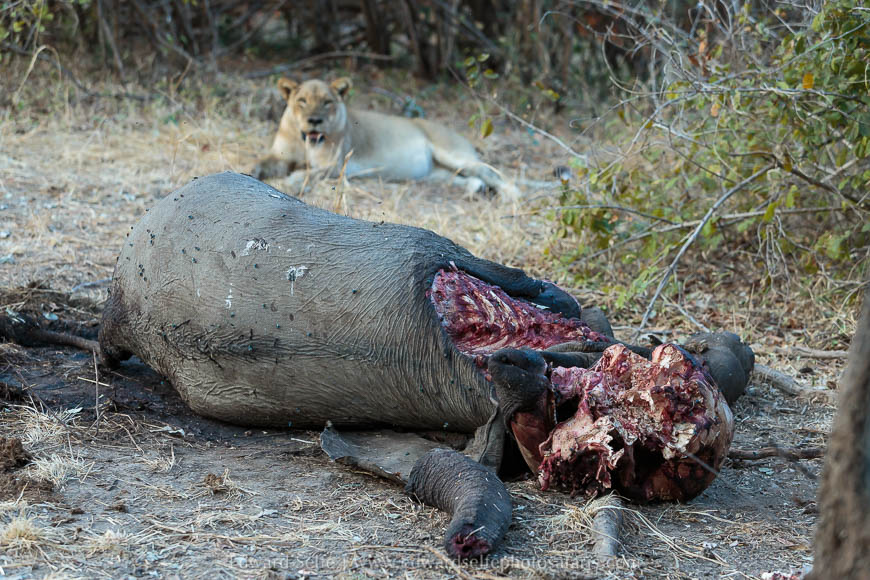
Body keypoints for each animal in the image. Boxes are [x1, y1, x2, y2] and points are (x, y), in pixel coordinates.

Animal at [252, 77, 520, 200]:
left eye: (327, 102)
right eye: (302, 101)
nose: (314, 120)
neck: (305, 140)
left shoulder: (335, 166)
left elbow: (305, 174)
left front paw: (287, 184)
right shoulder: (279, 155)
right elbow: (260, 163)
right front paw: (249, 175)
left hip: (454, 154)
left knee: (490, 171)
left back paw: (511, 194)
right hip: (435, 173)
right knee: (465, 179)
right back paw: (475, 189)